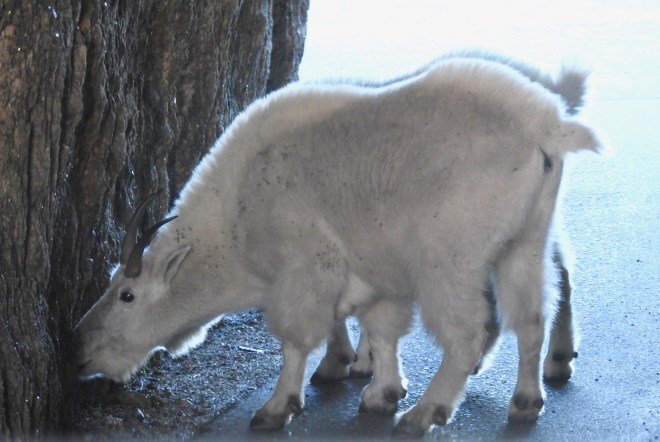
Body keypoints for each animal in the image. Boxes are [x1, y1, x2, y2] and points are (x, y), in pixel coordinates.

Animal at [76, 54, 601, 436]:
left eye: (127, 295)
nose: (79, 347)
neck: (234, 221)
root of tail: (548, 124)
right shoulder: (373, 274)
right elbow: (383, 330)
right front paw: (381, 391)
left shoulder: (305, 268)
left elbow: (295, 338)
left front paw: (278, 406)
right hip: (524, 240)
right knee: (532, 315)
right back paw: (527, 400)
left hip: (448, 260)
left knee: (470, 330)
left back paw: (427, 412)